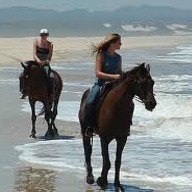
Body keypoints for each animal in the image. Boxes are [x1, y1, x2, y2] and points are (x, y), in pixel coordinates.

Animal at [79, 62, 157, 190]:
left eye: (152, 82)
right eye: (140, 82)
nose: (152, 103)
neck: (117, 107)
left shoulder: (122, 139)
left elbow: (117, 162)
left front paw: (117, 184)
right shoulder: (104, 138)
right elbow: (107, 161)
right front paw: (102, 181)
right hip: (85, 132)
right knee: (88, 151)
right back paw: (90, 177)